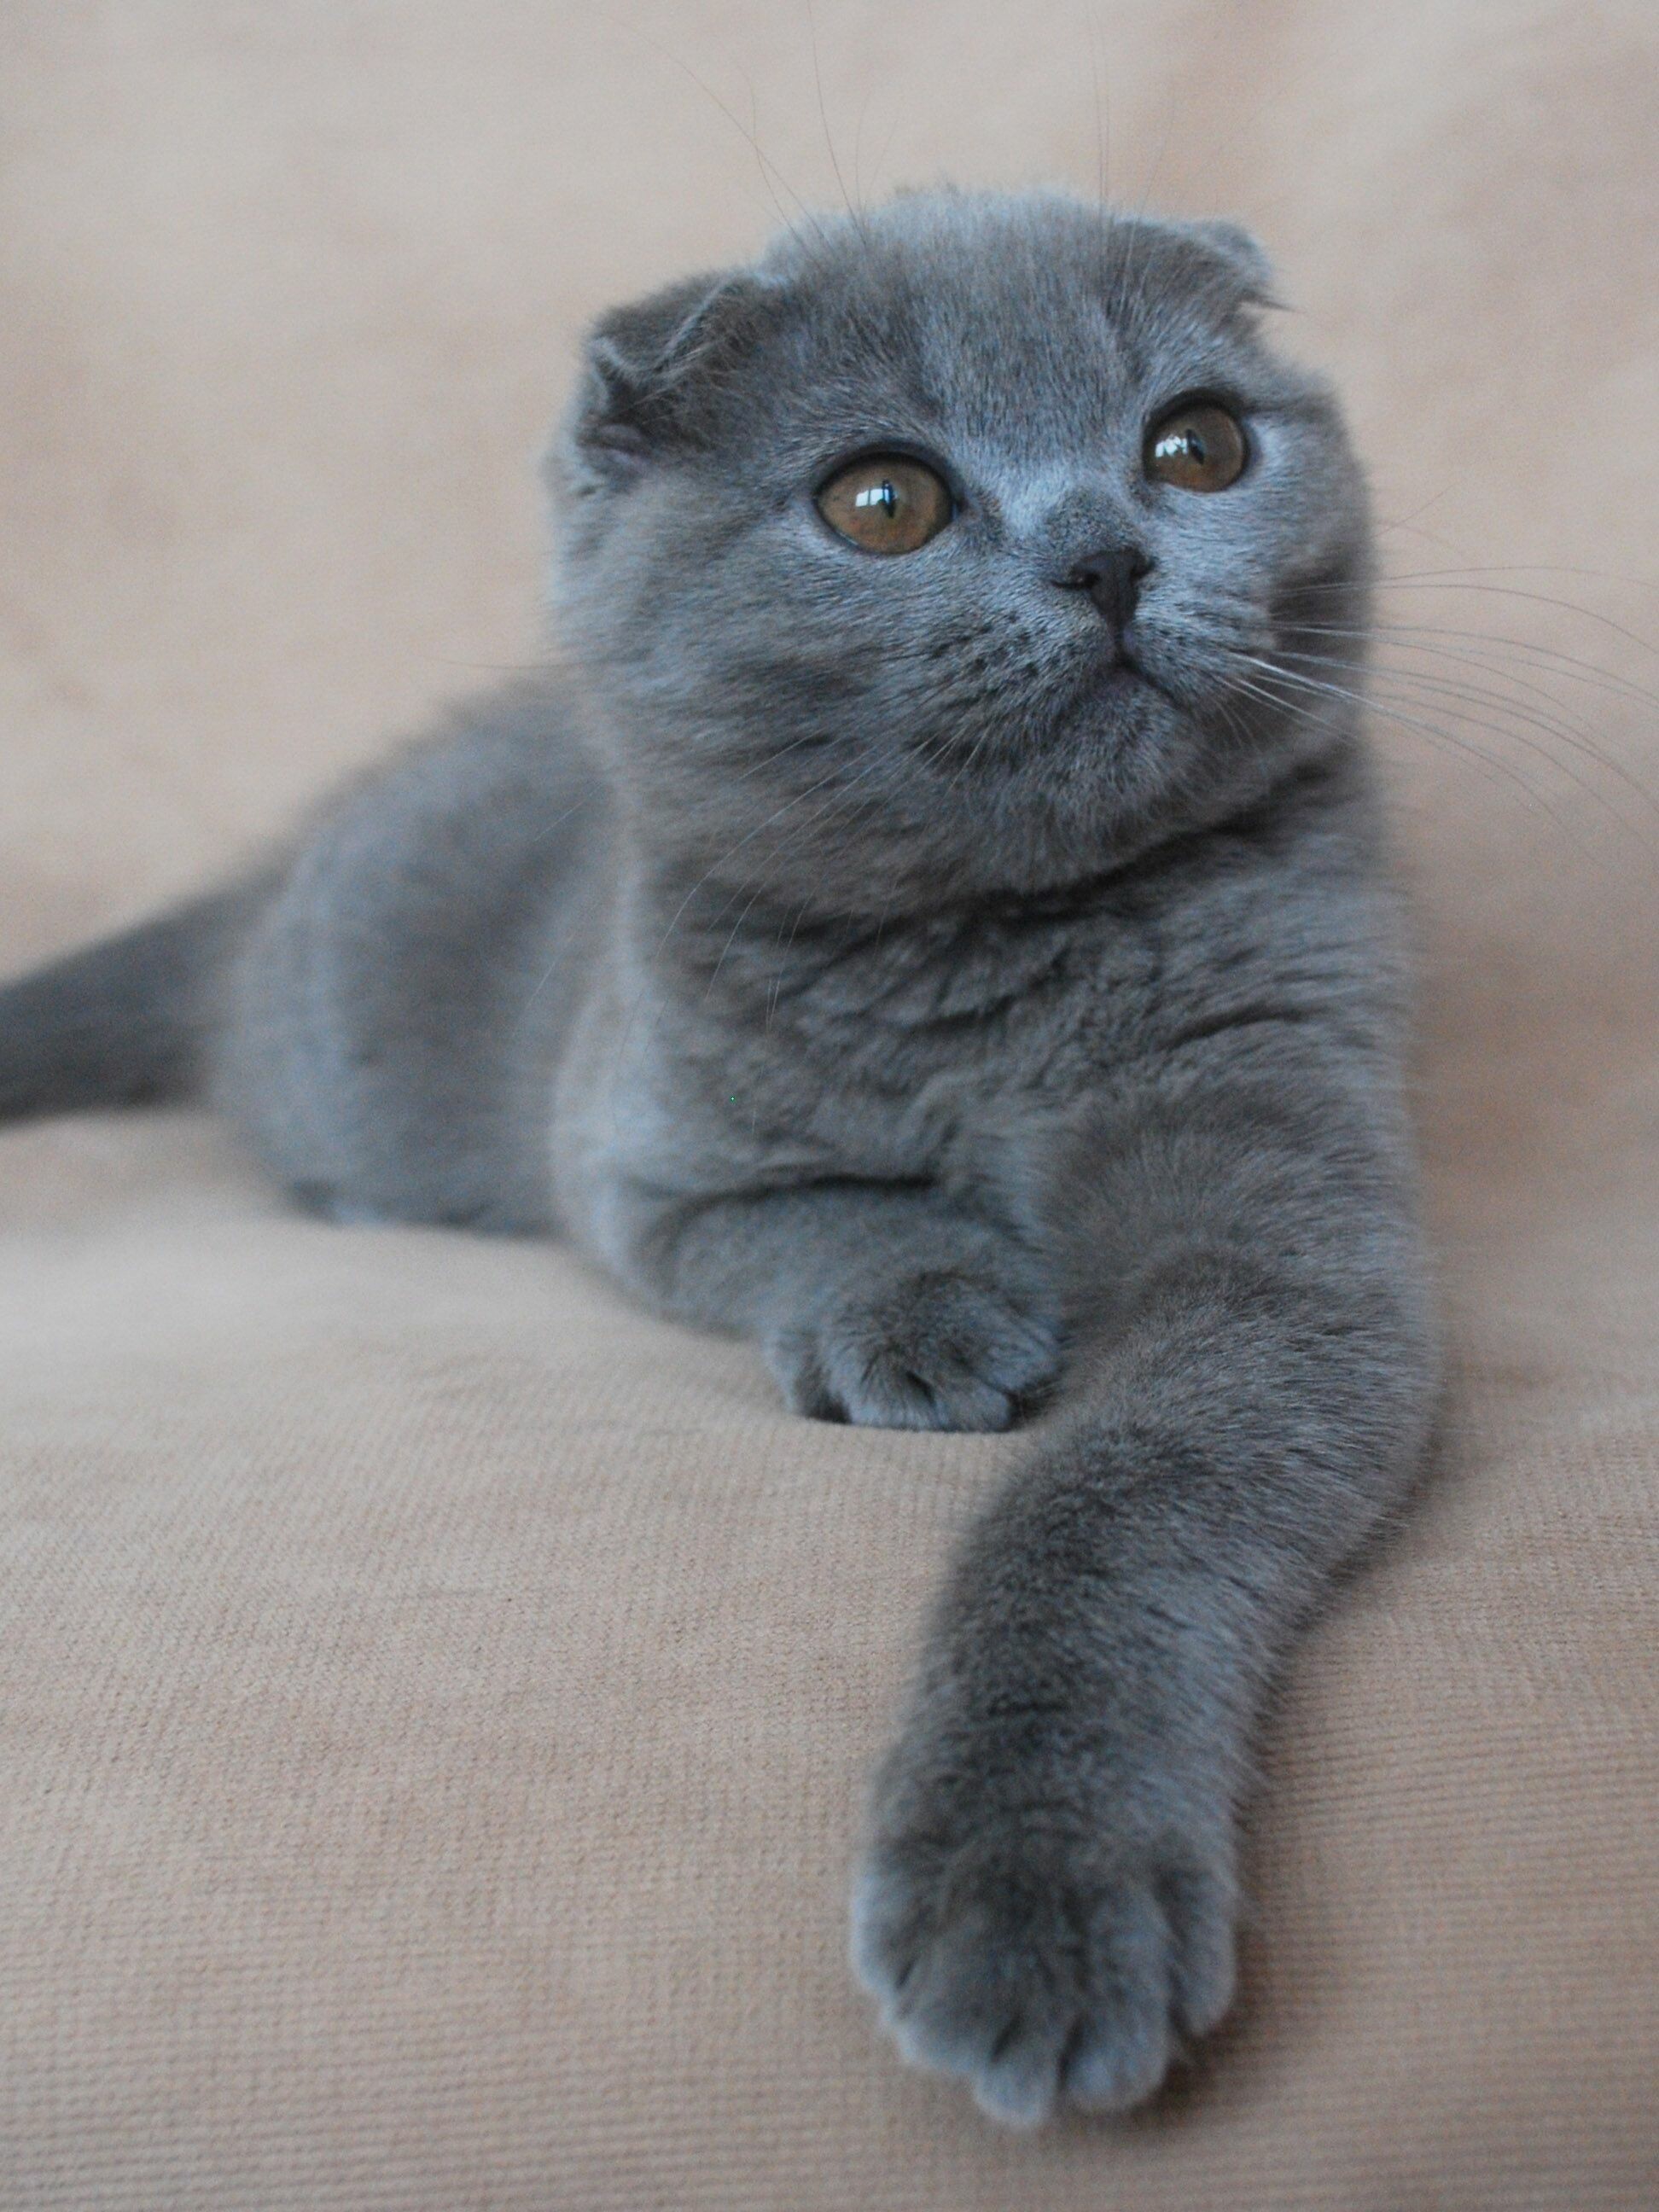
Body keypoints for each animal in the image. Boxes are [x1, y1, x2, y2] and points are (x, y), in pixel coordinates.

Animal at [0, 189, 1441, 2123]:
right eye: (881, 501)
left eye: (1195, 446)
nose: (1105, 554)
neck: (1005, 960)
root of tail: (281, 863)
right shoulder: (641, 1161)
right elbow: (815, 1220)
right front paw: (932, 1311)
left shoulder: (1294, 1204)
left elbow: (1117, 1500)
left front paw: (1036, 1884)